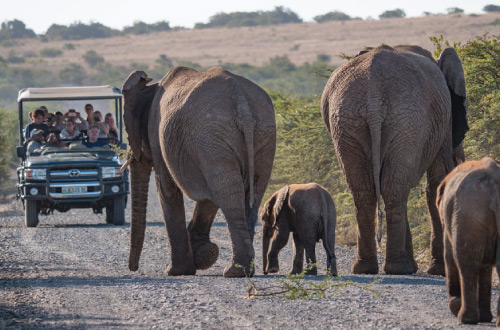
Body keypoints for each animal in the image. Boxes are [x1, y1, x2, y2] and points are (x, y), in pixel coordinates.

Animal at [122, 67, 276, 278]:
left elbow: (167, 189)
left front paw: (176, 271)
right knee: (248, 192)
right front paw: (203, 255)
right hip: (261, 135)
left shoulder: (158, 136)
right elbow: (208, 196)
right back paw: (244, 270)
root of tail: (241, 102)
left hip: (211, 136)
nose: (133, 268)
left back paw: (234, 272)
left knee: (228, 194)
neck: (152, 86)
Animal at [320, 45, 468, 274]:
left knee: (367, 190)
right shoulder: (445, 121)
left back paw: (366, 268)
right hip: (406, 120)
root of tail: (373, 93)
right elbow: (437, 180)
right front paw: (439, 270)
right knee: (394, 189)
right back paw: (399, 268)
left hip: (348, 121)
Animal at [436, 159, 500, 326]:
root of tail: (494, 183)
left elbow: (449, 256)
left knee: (467, 264)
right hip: (472, 216)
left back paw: (465, 318)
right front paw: (485, 318)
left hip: (467, 215)